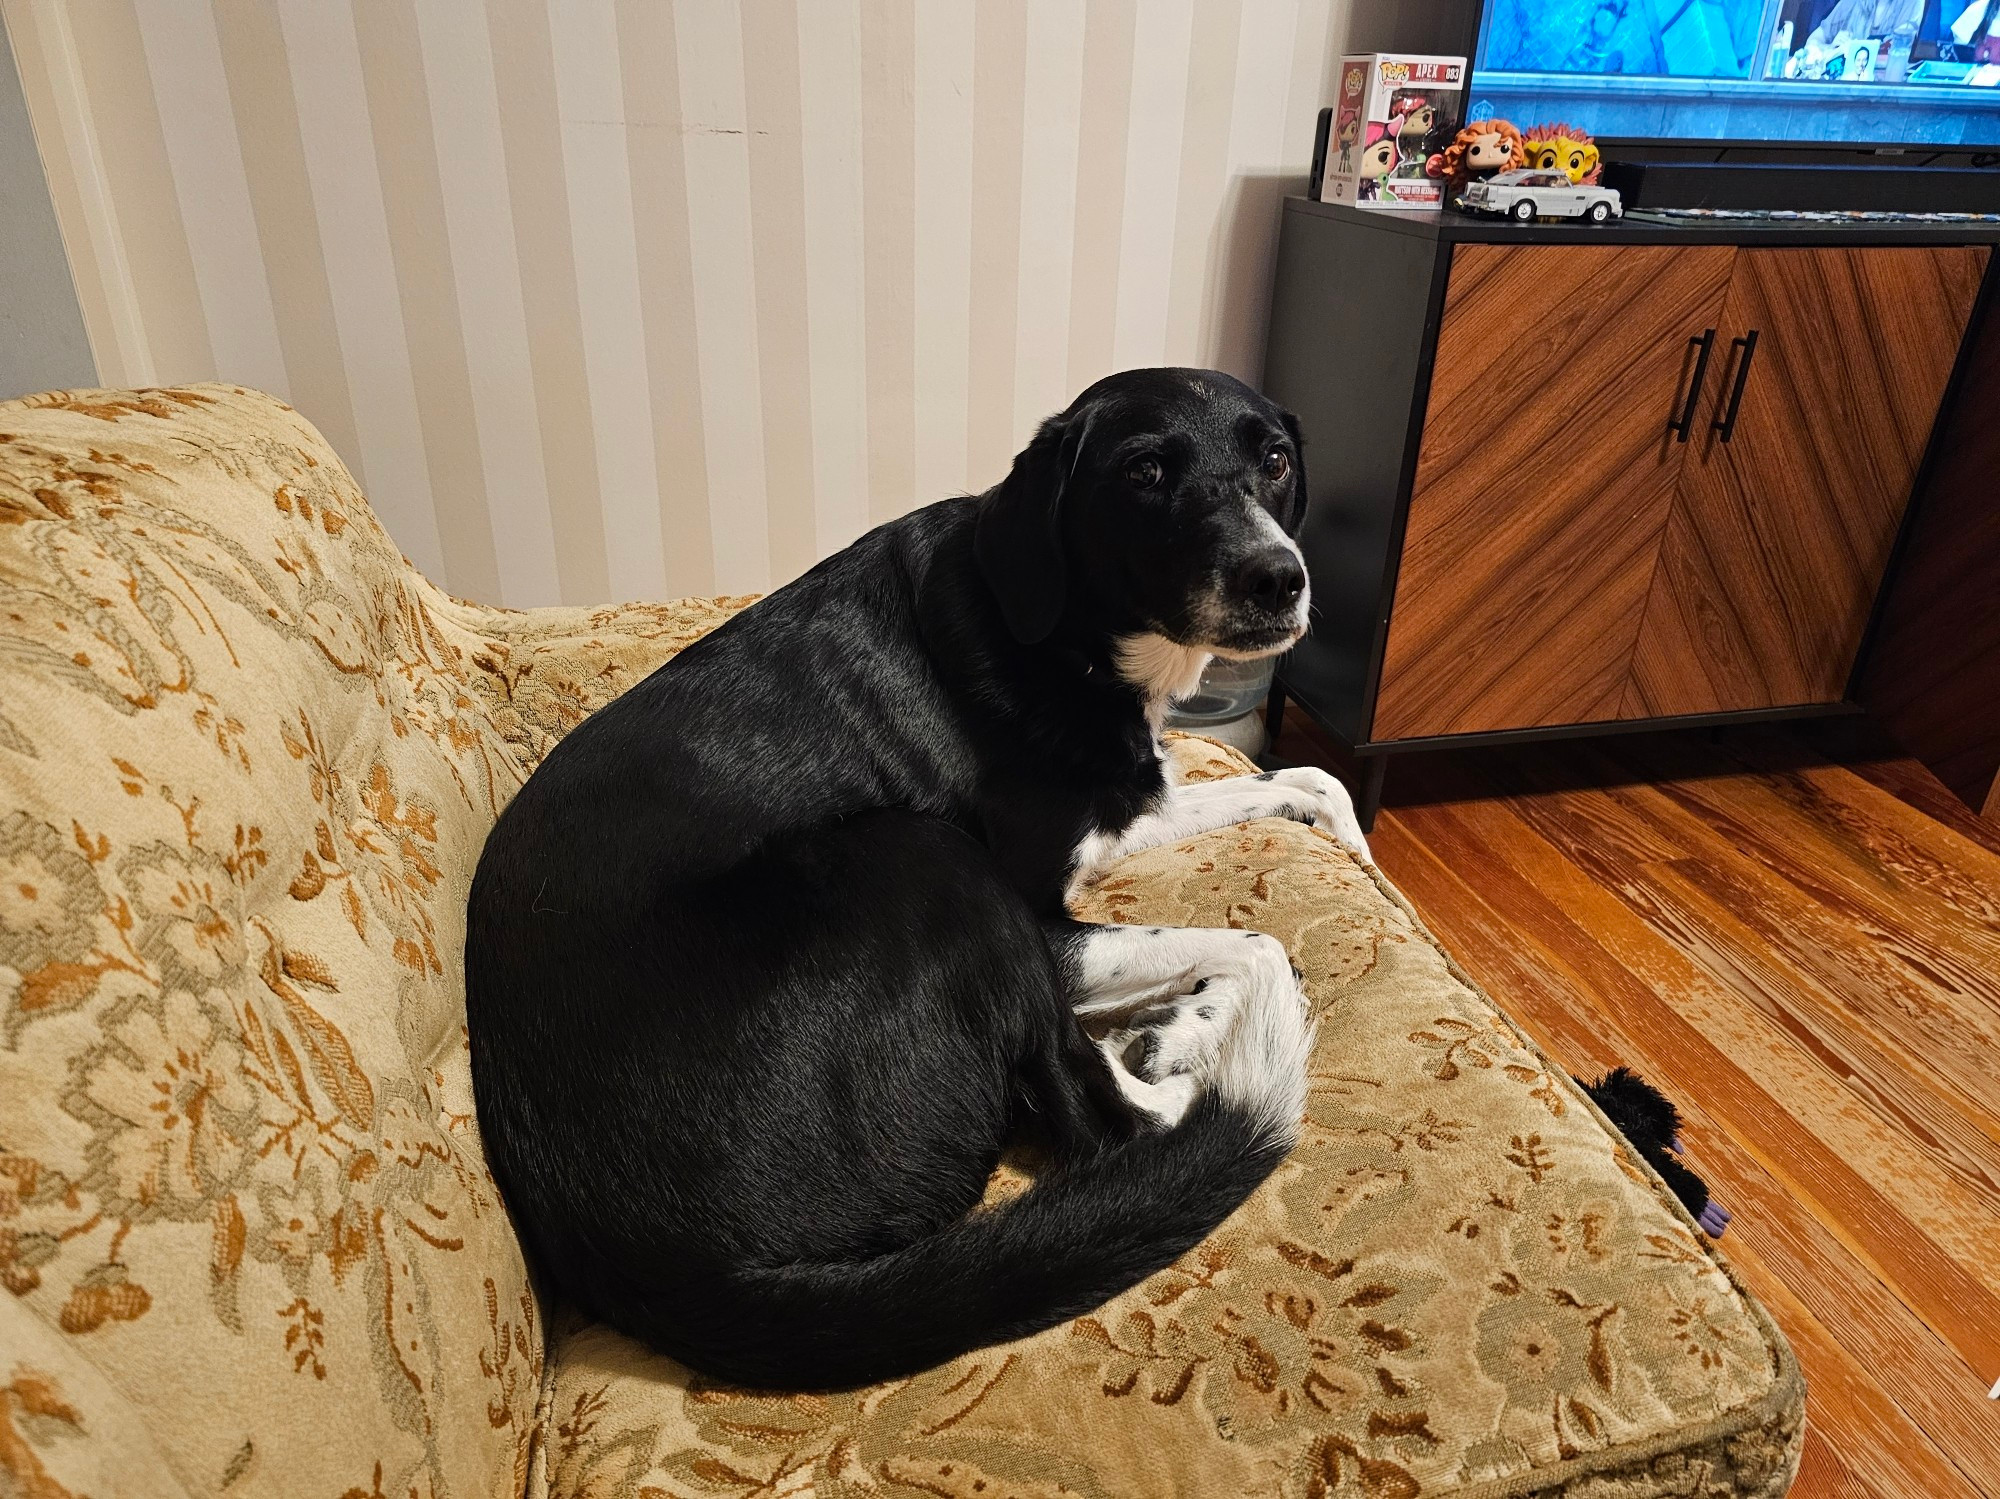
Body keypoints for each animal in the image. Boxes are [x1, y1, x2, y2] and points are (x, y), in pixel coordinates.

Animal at [468, 369, 1376, 1391]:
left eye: (1276, 459)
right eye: (1145, 471)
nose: (1280, 578)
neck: (1061, 635)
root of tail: (675, 1270)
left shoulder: (1122, 808)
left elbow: (1308, 778)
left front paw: (1354, 847)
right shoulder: (1039, 912)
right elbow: (1262, 941)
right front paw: (1191, 1026)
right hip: (927, 855)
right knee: (1099, 1119)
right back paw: (1180, 1072)